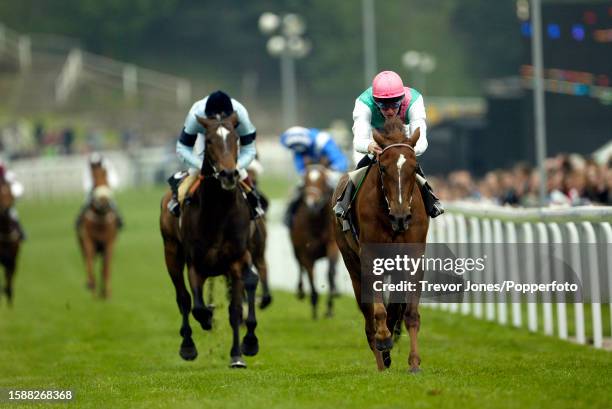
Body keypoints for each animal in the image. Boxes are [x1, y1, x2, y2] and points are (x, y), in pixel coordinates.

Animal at [76, 163, 119, 300]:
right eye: (94, 182)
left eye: (107, 179)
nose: (103, 201)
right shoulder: (89, 240)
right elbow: (90, 263)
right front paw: (91, 285)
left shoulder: (109, 243)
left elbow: (106, 269)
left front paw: (107, 293)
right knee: (88, 261)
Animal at [159, 111, 260, 366]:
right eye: (211, 141)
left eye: (235, 139)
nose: (228, 174)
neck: (218, 212)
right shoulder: (196, 263)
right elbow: (196, 306)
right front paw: (206, 320)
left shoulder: (236, 260)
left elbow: (235, 309)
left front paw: (238, 354)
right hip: (171, 253)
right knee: (183, 298)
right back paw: (188, 345)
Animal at [290, 164, 340, 318]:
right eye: (305, 181)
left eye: (323, 181)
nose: (312, 203)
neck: (317, 221)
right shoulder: (305, 251)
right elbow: (310, 274)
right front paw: (314, 303)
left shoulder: (332, 245)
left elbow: (330, 272)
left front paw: (329, 307)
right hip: (296, 250)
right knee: (300, 267)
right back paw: (300, 291)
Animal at [332, 116, 428, 372]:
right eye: (383, 168)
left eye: (414, 167)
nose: (401, 217)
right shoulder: (369, 258)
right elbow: (377, 310)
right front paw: (384, 340)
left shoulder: (414, 258)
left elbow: (409, 312)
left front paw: (414, 362)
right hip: (352, 263)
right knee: (367, 315)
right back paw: (381, 357)